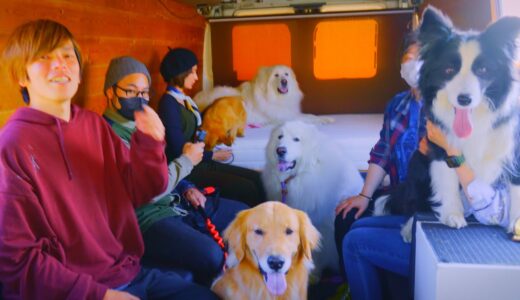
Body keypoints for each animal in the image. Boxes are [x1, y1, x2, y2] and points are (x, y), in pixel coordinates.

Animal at [194, 65, 334, 126]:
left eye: (286, 74)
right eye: (276, 75)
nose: (284, 81)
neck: (276, 98)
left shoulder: (290, 112)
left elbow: (310, 115)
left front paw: (326, 119)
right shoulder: (286, 117)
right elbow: (306, 118)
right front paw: (321, 120)